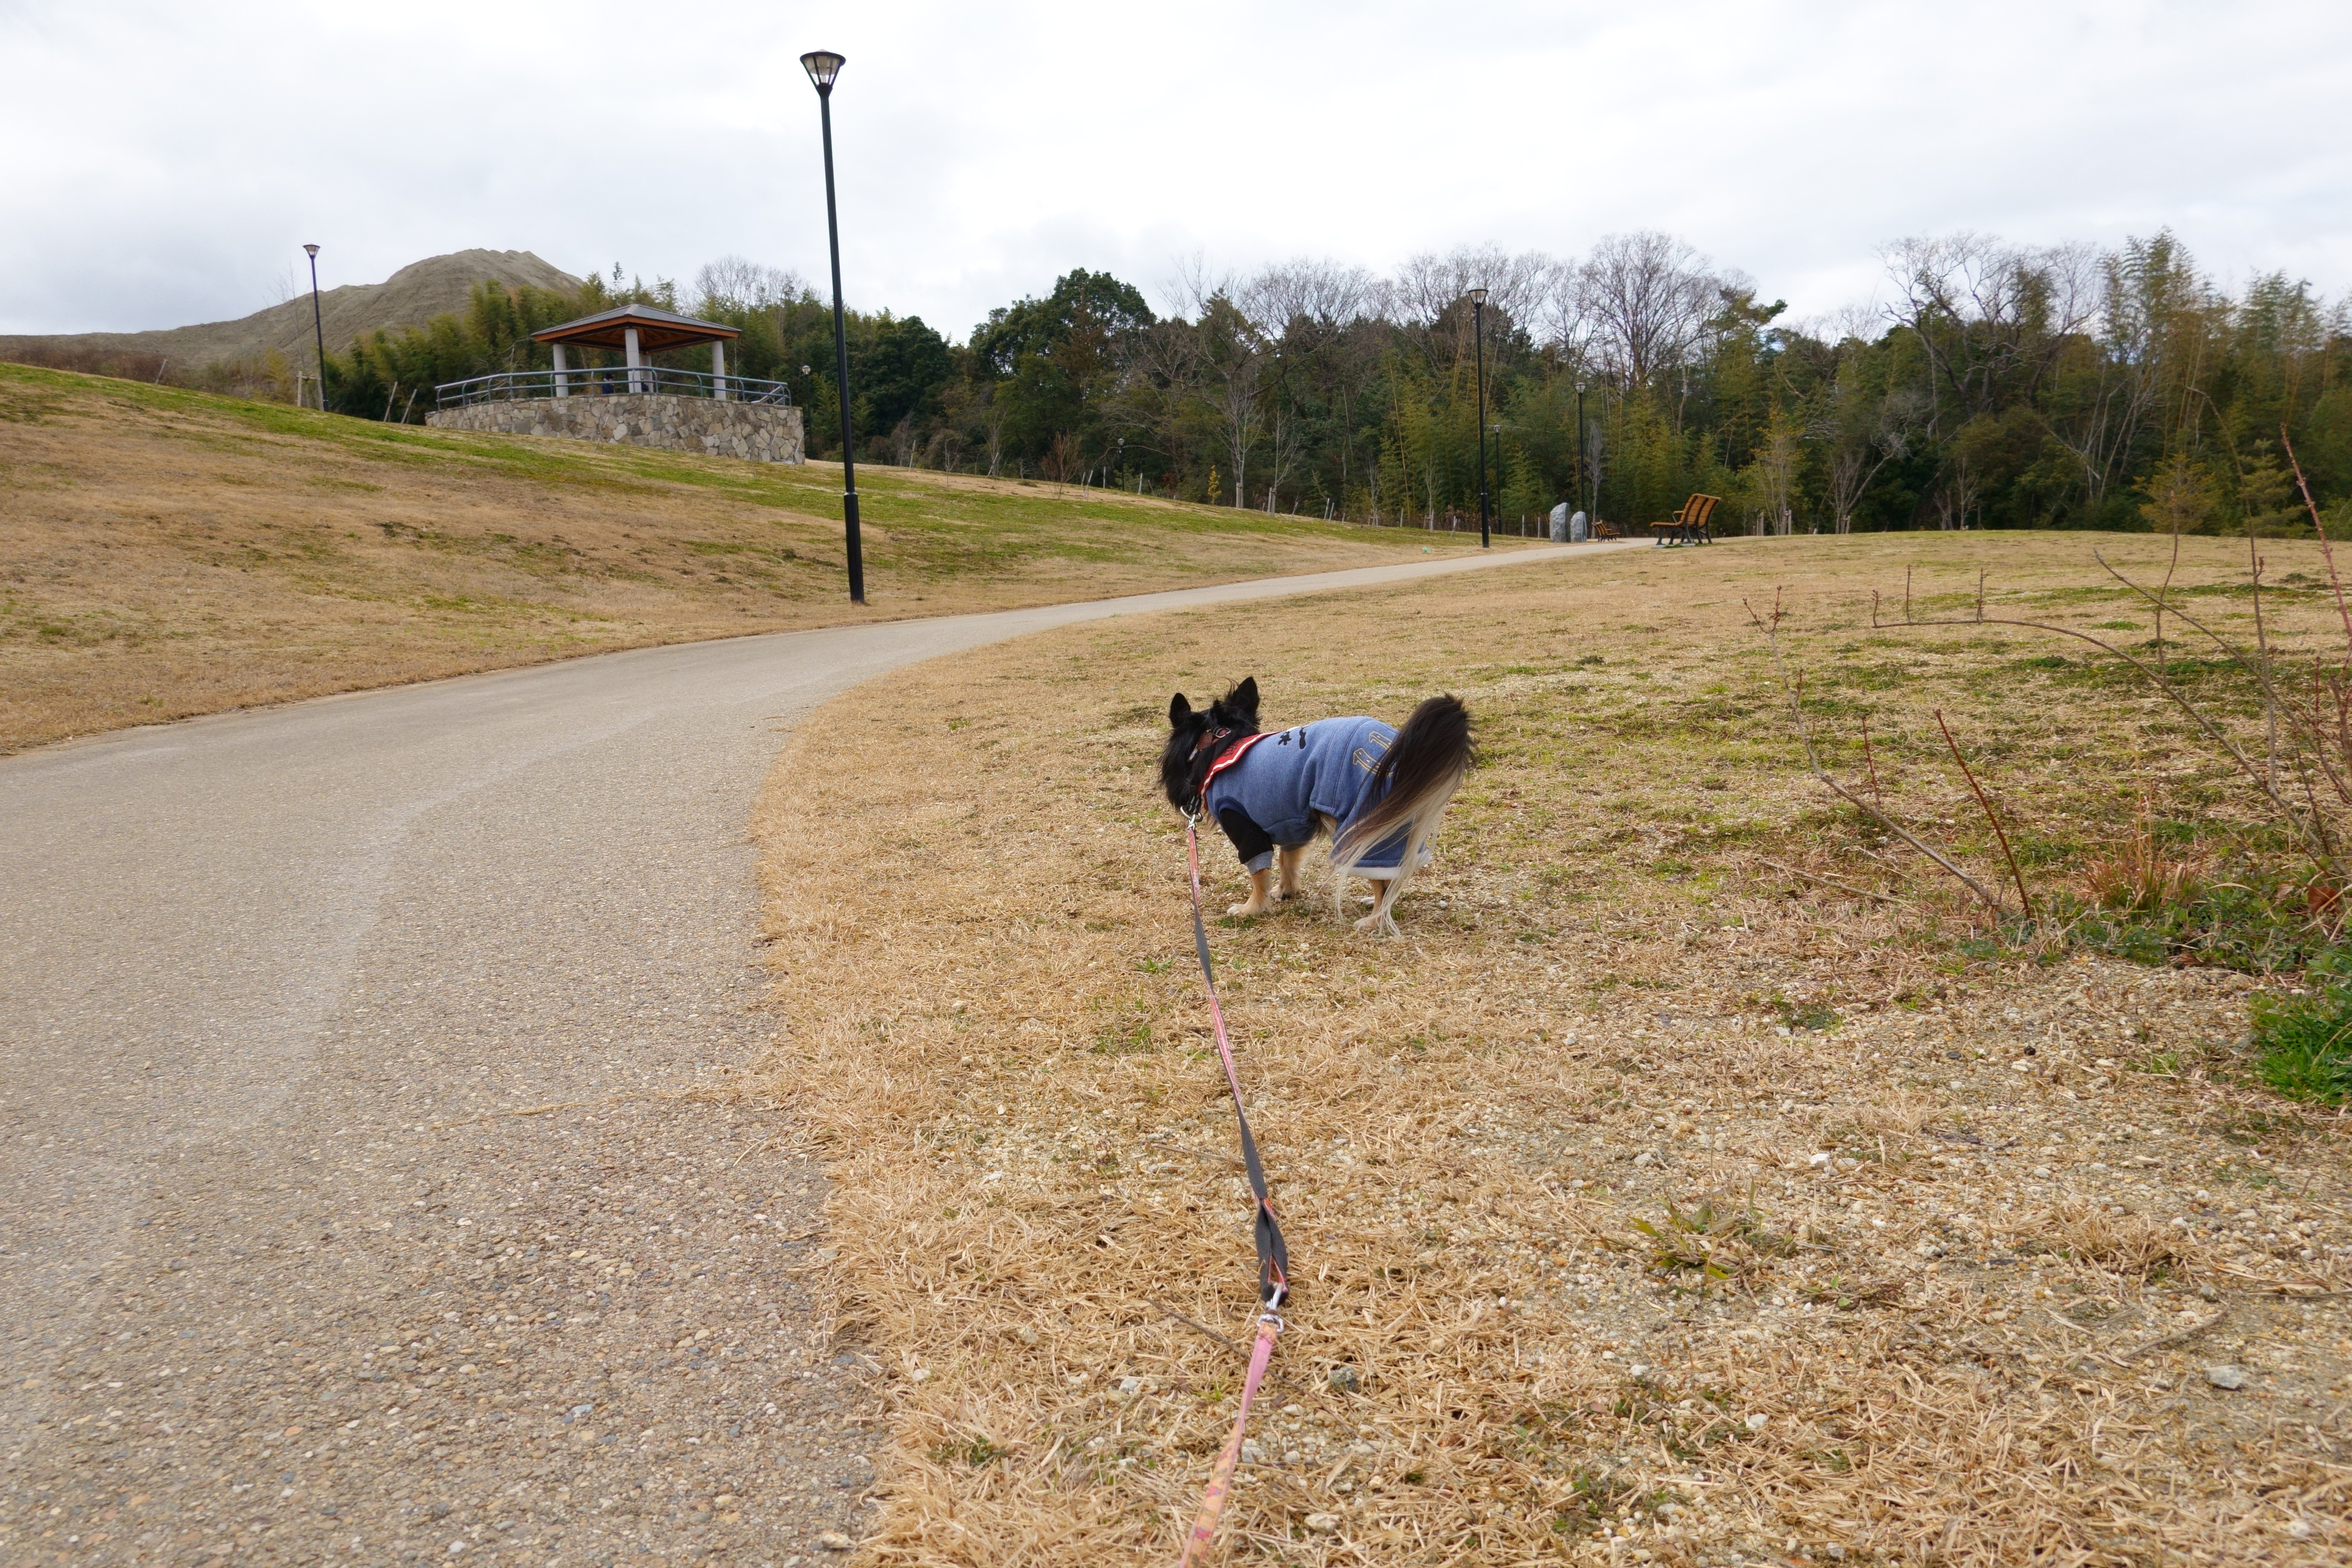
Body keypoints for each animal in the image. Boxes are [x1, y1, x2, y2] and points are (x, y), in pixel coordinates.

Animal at [1157, 677, 1467, 931]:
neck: (1218, 746)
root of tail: (1398, 748)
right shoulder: (1290, 825)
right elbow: (1287, 861)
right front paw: (1286, 891)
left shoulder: (1246, 829)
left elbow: (1259, 874)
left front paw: (1252, 908)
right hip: (1396, 823)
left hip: (1361, 826)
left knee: (1381, 878)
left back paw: (1374, 921)